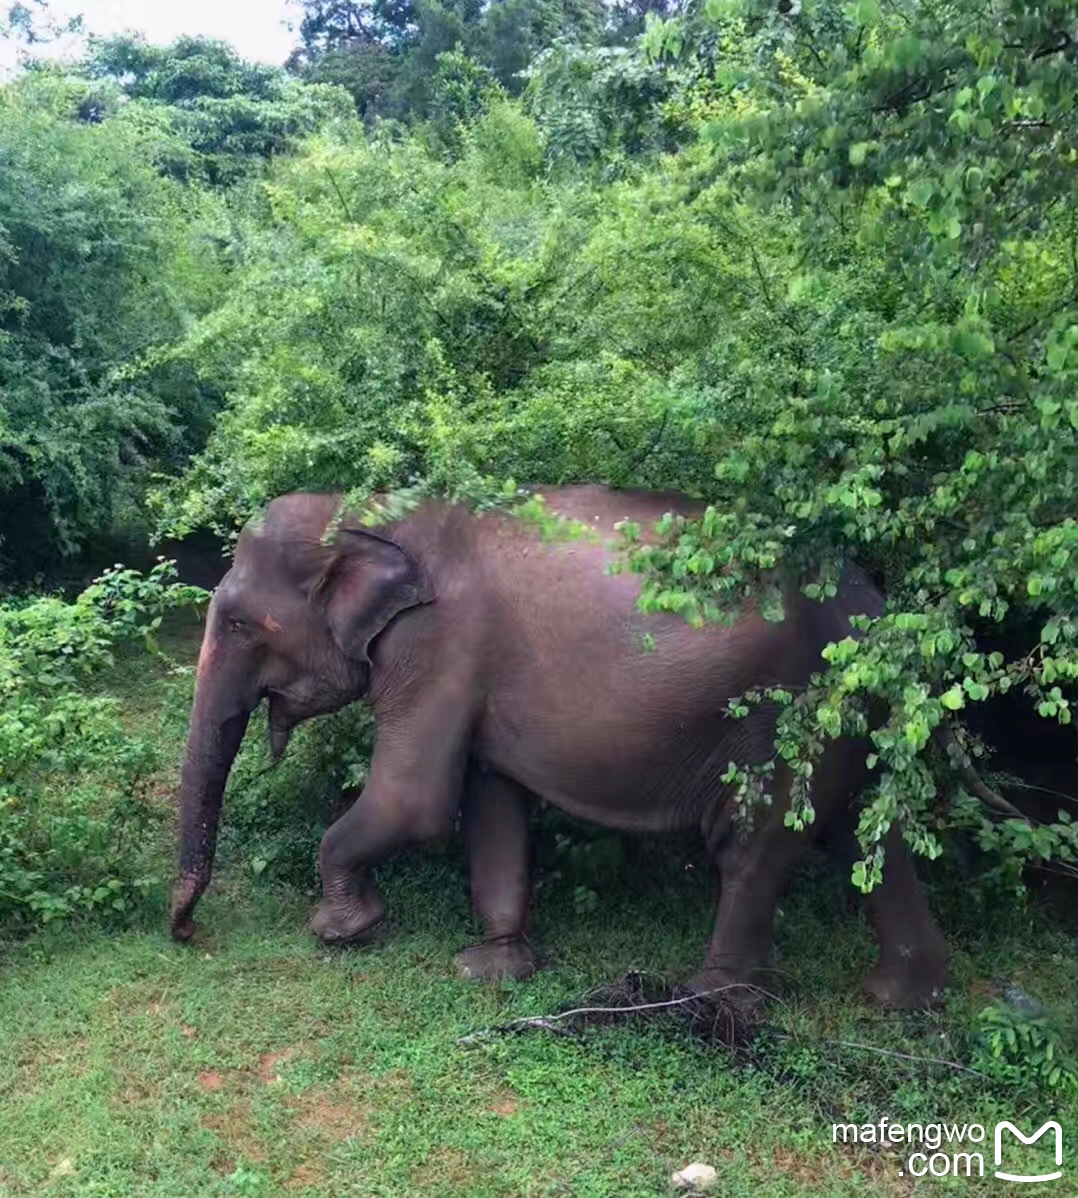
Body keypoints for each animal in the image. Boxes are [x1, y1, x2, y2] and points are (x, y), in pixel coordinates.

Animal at [170, 481, 953, 1006]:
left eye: (238, 624)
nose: (185, 934)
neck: (379, 513)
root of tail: (879, 608)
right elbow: (491, 801)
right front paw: (490, 968)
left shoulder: (438, 646)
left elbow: (412, 803)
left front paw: (340, 931)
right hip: (850, 721)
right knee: (862, 838)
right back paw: (900, 998)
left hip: (792, 712)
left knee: (753, 846)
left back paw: (703, 1005)